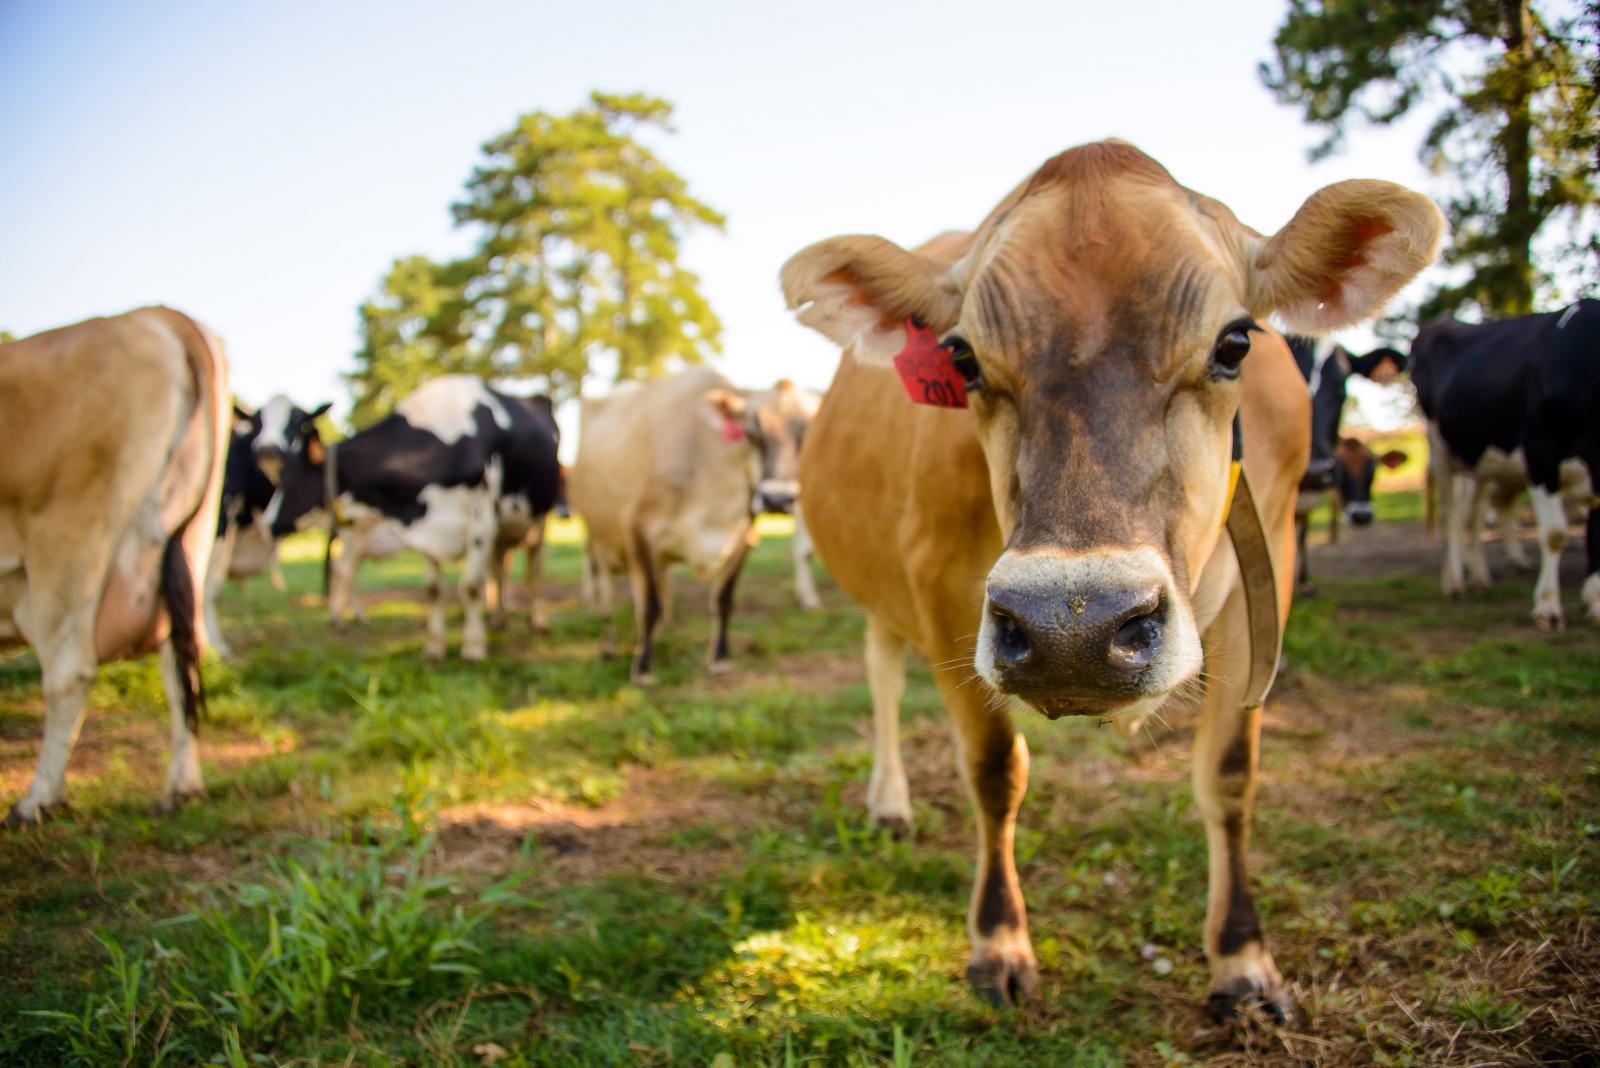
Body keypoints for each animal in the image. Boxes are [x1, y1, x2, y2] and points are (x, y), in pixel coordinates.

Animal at [0, 307, 229, 825]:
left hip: (67, 543)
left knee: (68, 671)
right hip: (185, 545)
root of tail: (152, 314)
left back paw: (38, 799)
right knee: (181, 659)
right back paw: (182, 787)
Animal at [204, 396, 330, 657]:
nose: (268, 450)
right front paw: (215, 646)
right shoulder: (220, 520)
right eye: (258, 420)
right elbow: (209, 587)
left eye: (298, 421)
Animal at [264, 375, 561, 660]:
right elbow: (433, 589)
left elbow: (470, 587)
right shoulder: (422, 523)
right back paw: (499, 619)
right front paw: (435, 647)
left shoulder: (482, 521)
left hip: (537, 520)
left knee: (534, 571)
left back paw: (538, 620)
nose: (267, 522)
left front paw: (473, 648)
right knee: (499, 570)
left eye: (286, 481)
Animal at [567, 369, 811, 682]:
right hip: (597, 538)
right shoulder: (637, 527)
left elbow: (723, 599)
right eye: (751, 431)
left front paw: (720, 658)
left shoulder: (743, 536)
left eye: (807, 433)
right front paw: (642, 667)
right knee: (604, 591)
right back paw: (609, 645)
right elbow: (650, 604)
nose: (778, 499)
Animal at [1410, 300, 1600, 628]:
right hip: (1440, 450)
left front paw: (1595, 604)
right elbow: (1555, 534)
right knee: (1452, 517)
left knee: (1472, 519)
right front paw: (1547, 606)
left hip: (1481, 462)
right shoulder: (1540, 452)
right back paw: (1454, 582)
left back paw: (1479, 578)